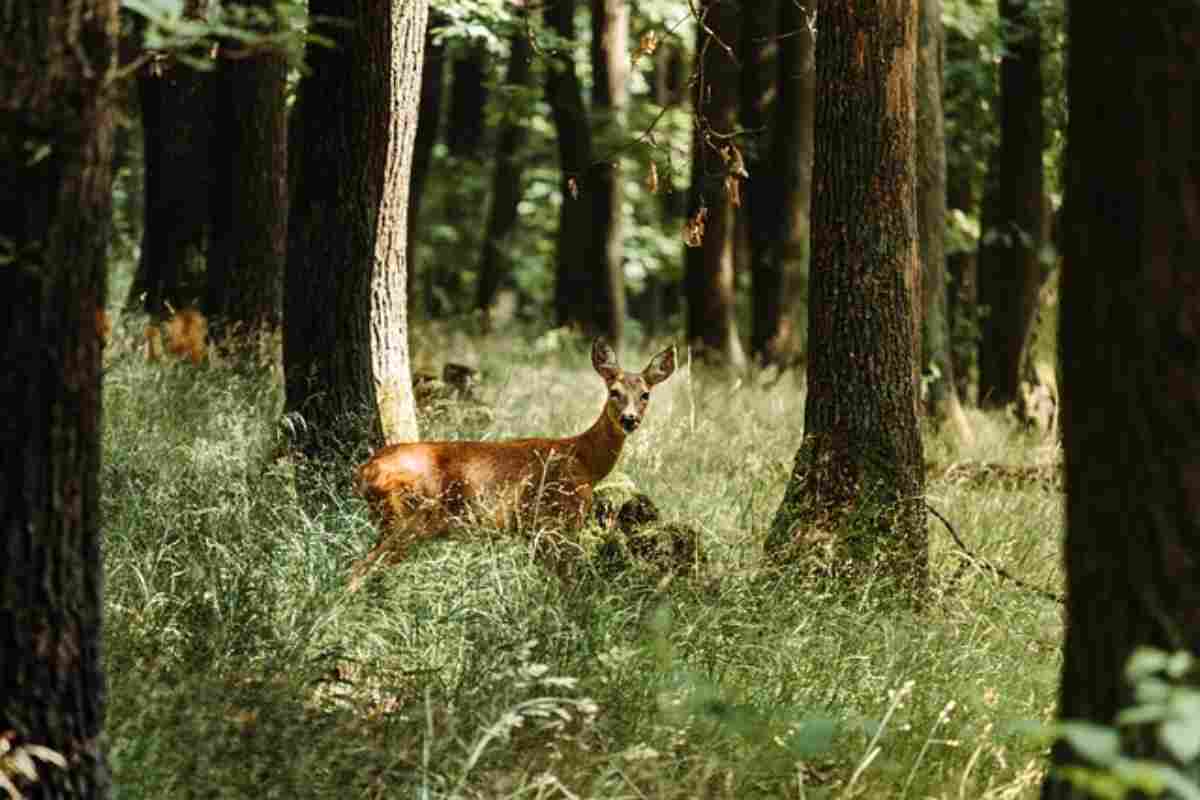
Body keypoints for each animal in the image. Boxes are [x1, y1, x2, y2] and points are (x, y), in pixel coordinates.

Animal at [350, 338, 681, 587]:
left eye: (645, 395)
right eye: (614, 392)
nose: (629, 419)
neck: (583, 461)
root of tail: (365, 470)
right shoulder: (553, 521)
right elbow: (565, 582)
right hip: (407, 518)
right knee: (359, 569)